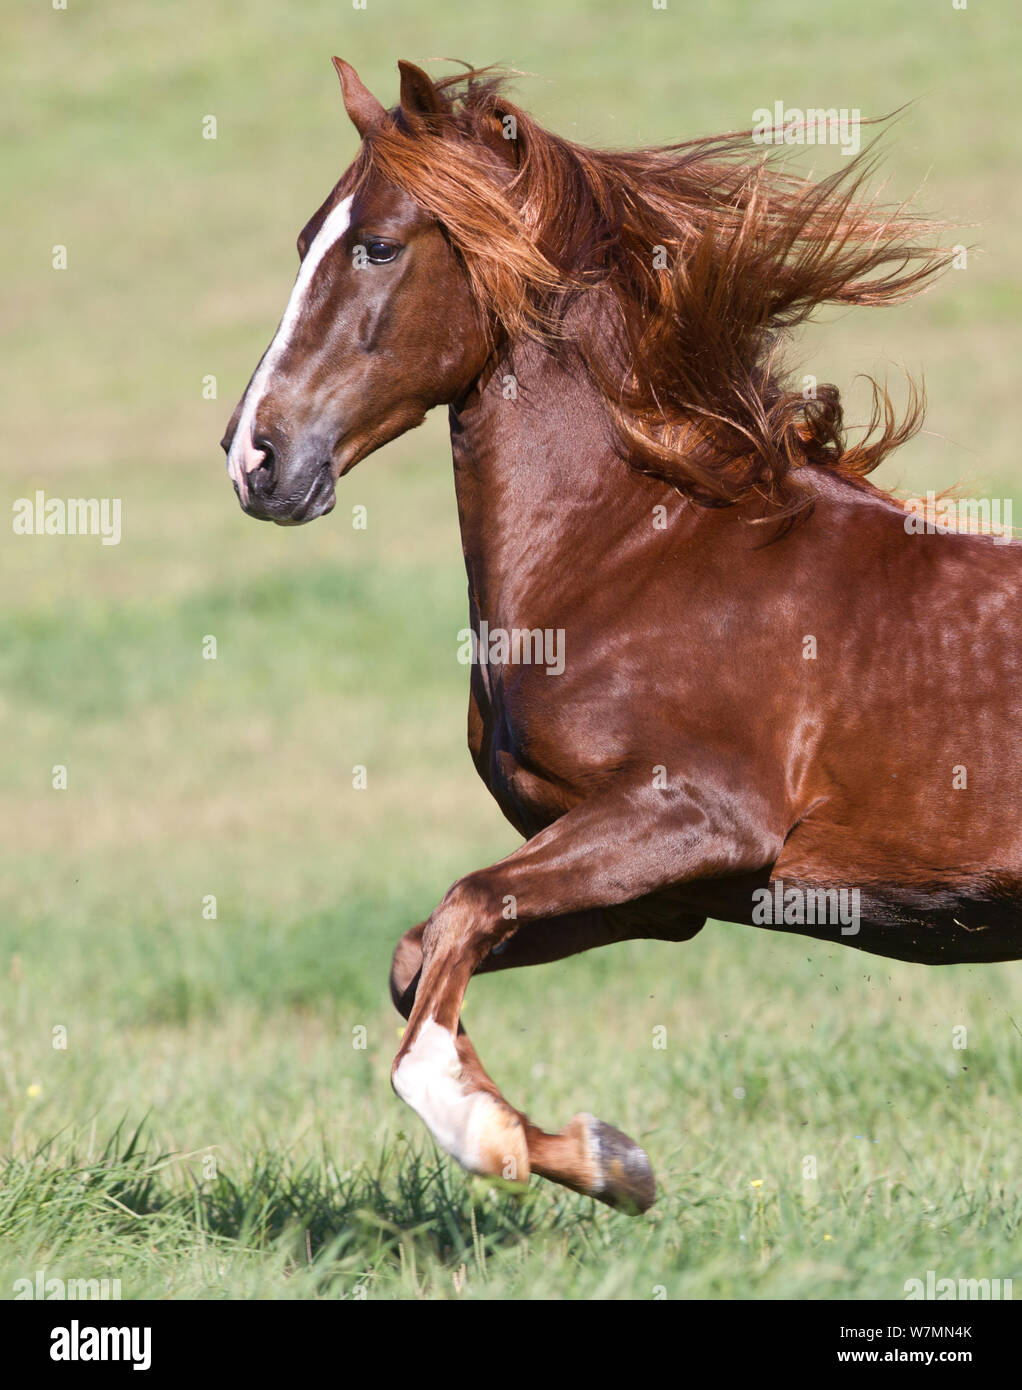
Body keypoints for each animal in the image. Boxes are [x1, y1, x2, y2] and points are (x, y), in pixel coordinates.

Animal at [221, 58, 1021, 1213]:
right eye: (301, 240)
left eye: (376, 244)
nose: (256, 460)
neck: (637, 550)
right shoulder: (664, 893)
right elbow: (424, 958)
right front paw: (610, 1160)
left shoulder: (691, 817)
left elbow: (454, 939)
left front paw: (512, 1140)